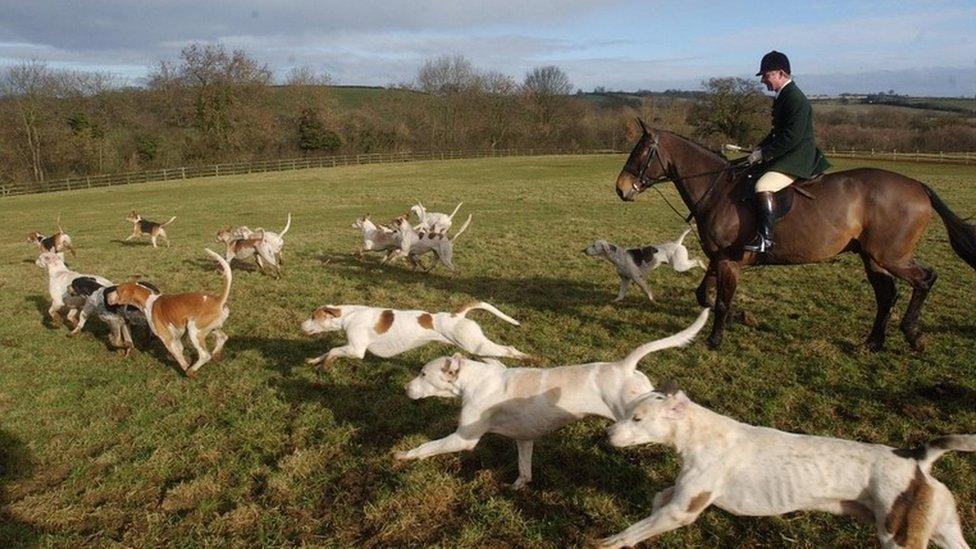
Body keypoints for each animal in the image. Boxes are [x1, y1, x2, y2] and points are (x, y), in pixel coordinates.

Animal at [612, 122, 976, 348]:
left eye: (641, 152)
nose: (621, 189)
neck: (717, 189)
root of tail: (918, 187)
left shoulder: (729, 261)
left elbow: (721, 299)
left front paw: (716, 338)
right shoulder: (718, 258)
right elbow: (704, 295)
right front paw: (738, 318)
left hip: (892, 256)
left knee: (925, 278)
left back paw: (913, 334)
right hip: (873, 258)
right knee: (887, 296)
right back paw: (873, 342)